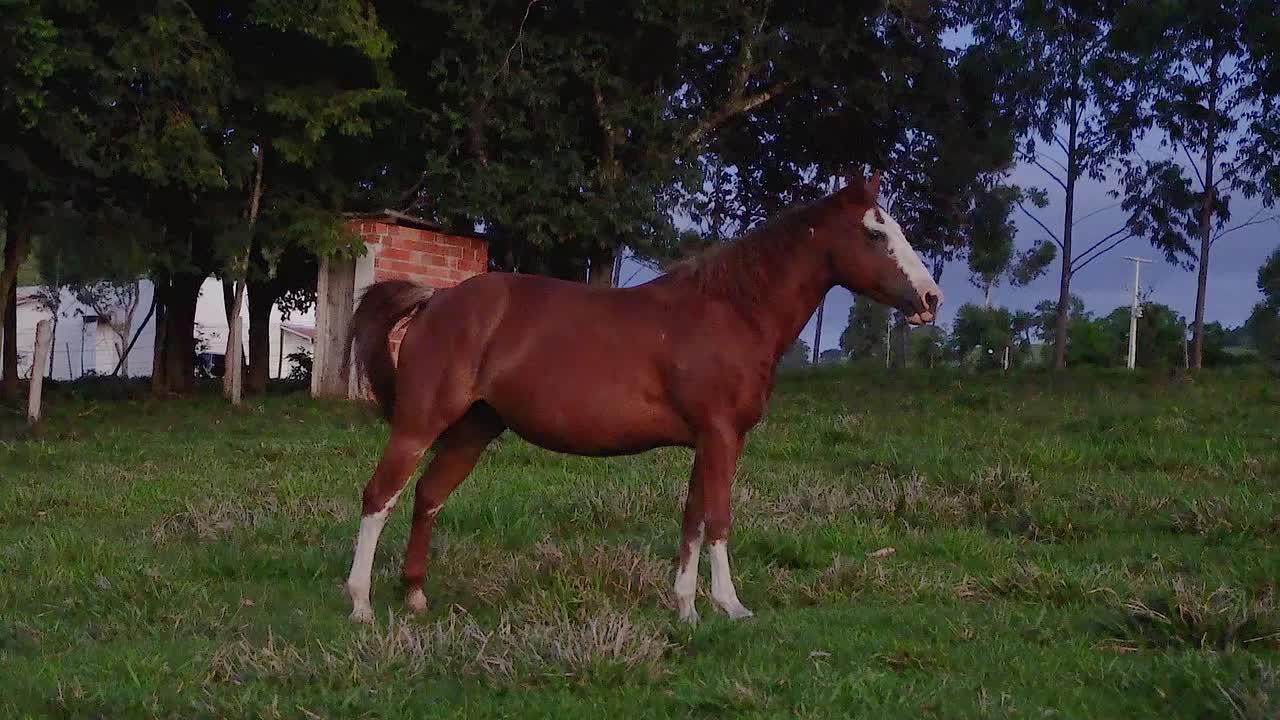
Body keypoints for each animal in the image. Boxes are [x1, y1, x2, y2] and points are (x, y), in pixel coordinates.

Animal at [343, 171, 941, 624]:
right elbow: (718, 519)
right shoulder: (721, 436)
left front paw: (686, 609)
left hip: (475, 428)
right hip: (419, 425)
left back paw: (415, 595)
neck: (731, 310)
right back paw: (361, 605)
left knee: (428, 496)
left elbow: (693, 519)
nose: (931, 298)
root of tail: (437, 298)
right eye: (875, 234)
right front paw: (730, 605)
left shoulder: (709, 441)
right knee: (380, 497)